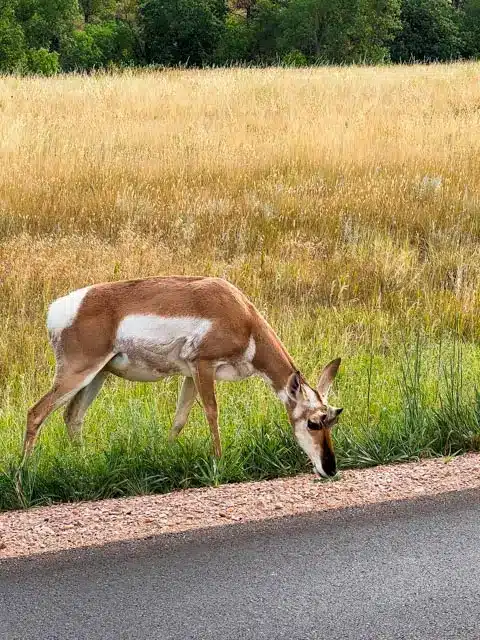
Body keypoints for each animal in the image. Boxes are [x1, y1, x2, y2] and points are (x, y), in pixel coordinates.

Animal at [24, 276, 344, 476]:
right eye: (313, 422)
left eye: (333, 421)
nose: (330, 469)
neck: (243, 318)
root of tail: (58, 308)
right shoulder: (203, 366)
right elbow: (212, 412)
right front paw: (219, 461)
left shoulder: (189, 375)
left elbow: (179, 419)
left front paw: (164, 455)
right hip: (78, 372)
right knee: (36, 412)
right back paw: (24, 475)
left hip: (98, 375)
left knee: (72, 416)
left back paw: (85, 462)